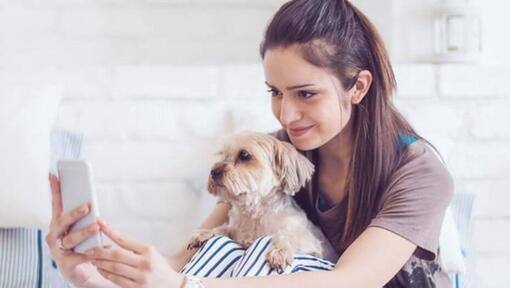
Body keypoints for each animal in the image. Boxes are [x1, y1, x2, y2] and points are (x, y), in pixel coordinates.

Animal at [187, 132, 334, 272]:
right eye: (223, 155)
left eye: (244, 155)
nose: (213, 171)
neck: (255, 212)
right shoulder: (235, 232)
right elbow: (224, 229)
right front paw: (204, 233)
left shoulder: (312, 243)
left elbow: (287, 236)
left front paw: (279, 252)